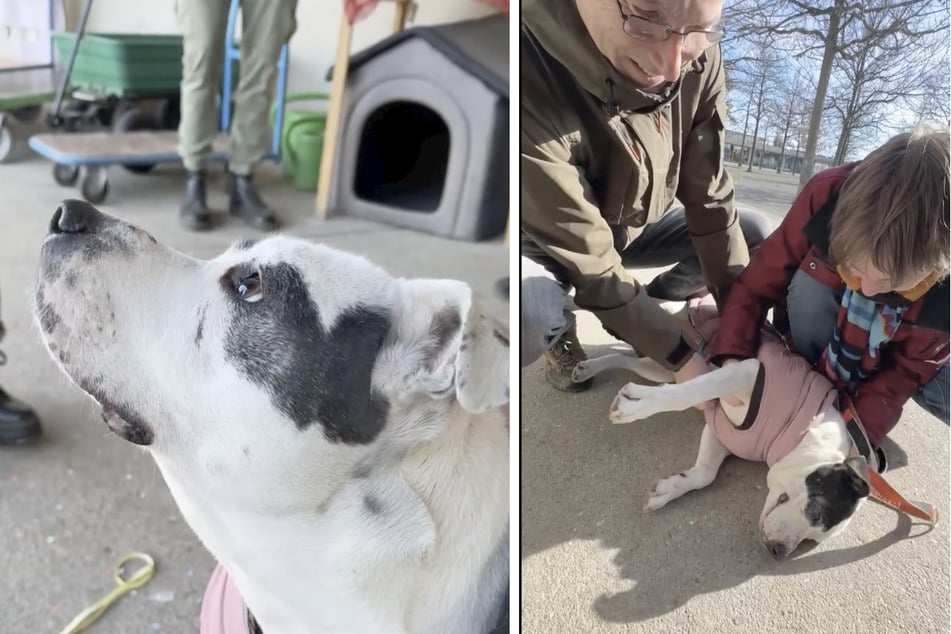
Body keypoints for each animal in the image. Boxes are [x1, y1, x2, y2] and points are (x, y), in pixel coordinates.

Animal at [572, 298, 876, 556]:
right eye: (816, 514)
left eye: (812, 540)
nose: (779, 552)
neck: (800, 434)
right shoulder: (746, 373)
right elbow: (689, 394)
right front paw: (640, 404)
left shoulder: (723, 433)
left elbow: (705, 474)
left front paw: (670, 489)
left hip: (666, 366)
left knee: (631, 360)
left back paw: (587, 368)